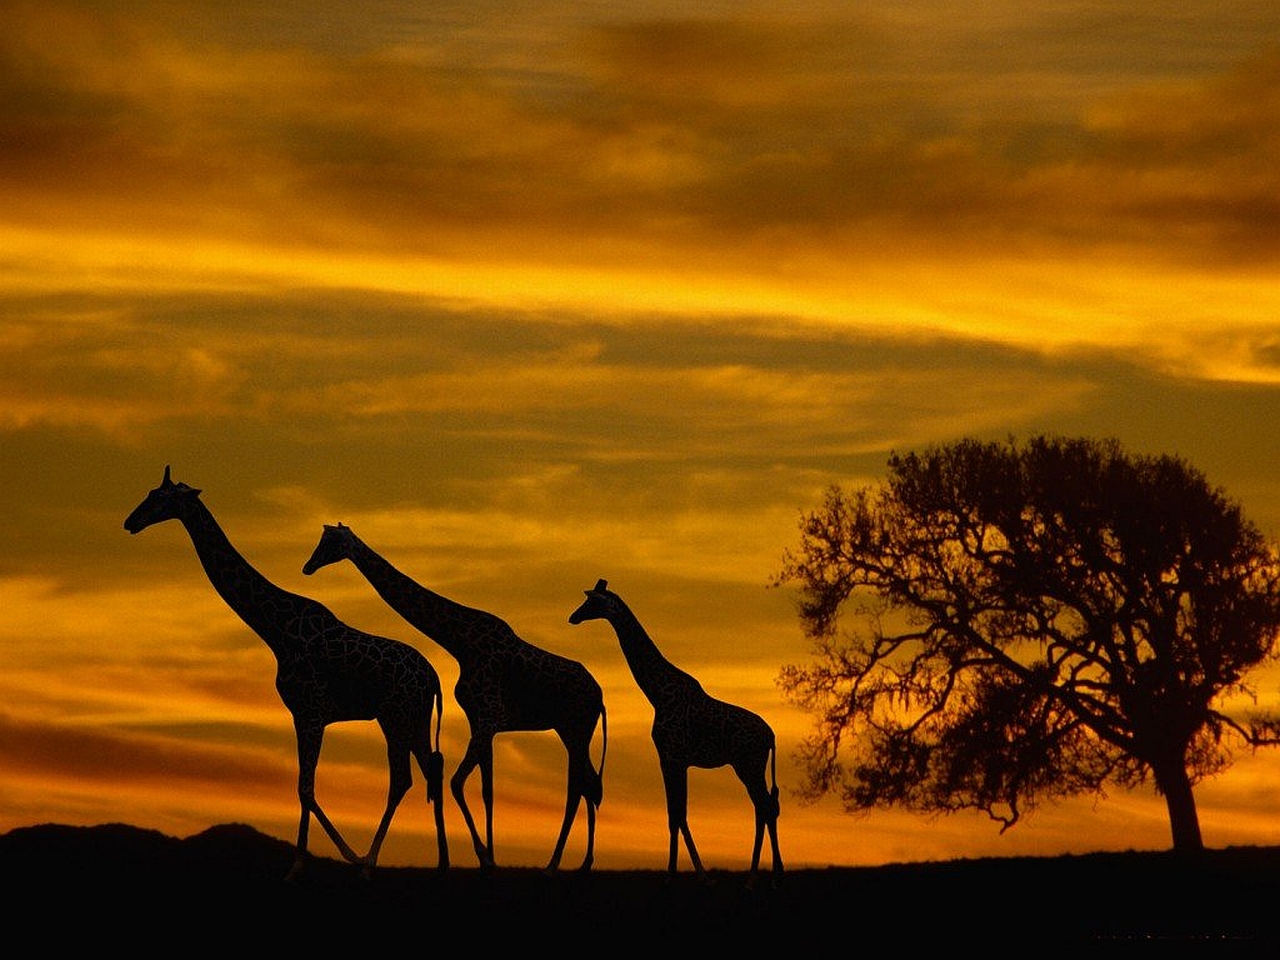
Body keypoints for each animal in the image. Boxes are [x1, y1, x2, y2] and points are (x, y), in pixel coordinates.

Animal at [124, 466, 449, 881]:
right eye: (151, 492)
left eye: (162, 498)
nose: (130, 521)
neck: (276, 630)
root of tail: (434, 677)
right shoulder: (298, 713)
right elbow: (301, 788)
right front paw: (303, 864)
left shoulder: (312, 712)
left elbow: (306, 788)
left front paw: (316, 863)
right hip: (414, 717)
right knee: (431, 770)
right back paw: (441, 865)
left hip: (395, 715)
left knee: (403, 778)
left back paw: (368, 864)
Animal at [302, 522, 606, 873]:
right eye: (321, 539)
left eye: (332, 542)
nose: (308, 567)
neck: (460, 643)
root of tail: (600, 696)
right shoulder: (483, 722)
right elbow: (487, 789)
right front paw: (491, 857)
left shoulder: (487, 718)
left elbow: (459, 783)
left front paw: (485, 855)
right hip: (569, 731)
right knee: (587, 784)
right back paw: (580, 862)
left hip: (577, 729)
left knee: (581, 786)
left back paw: (561, 863)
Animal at [568, 578, 783, 888]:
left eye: (591, 602)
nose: (573, 617)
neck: (657, 694)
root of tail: (772, 737)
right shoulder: (674, 760)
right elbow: (677, 813)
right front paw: (689, 874)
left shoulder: (671, 756)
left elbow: (676, 814)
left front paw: (680, 876)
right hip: (749, 767)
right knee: (766, 807)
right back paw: (765, 876)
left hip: (749, 765)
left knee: (765, 807)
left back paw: (759, 878)